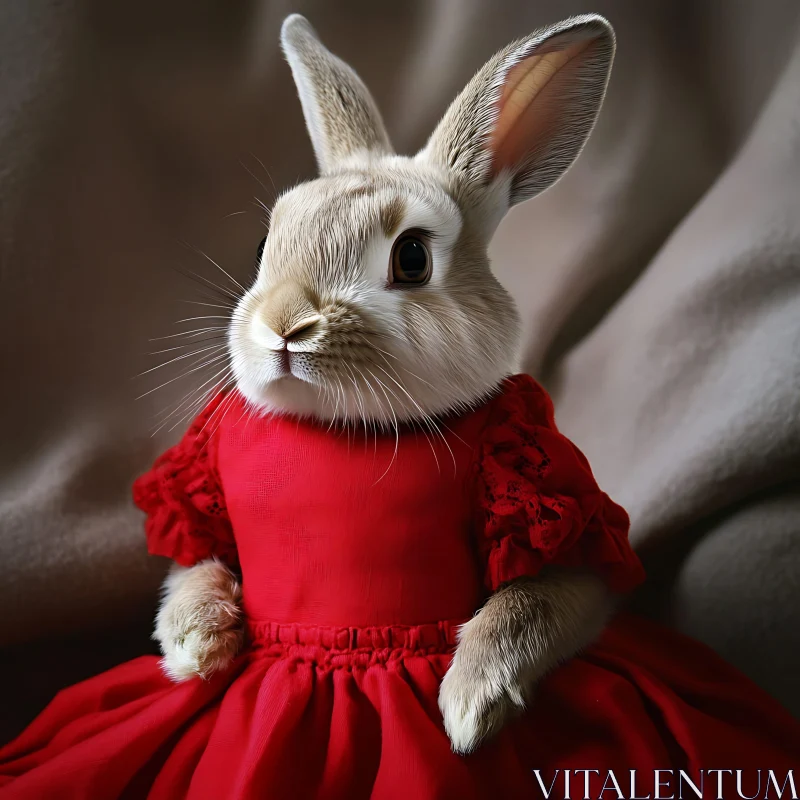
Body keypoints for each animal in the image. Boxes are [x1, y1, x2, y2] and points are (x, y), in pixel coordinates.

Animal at [158, 9, 620, 752]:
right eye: (263, 248)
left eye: (412, 259)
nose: (284, 325)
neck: (341, 428)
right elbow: (194, 561)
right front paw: (194, 649)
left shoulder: (559, 516)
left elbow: (539, 598)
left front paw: (469, 706)